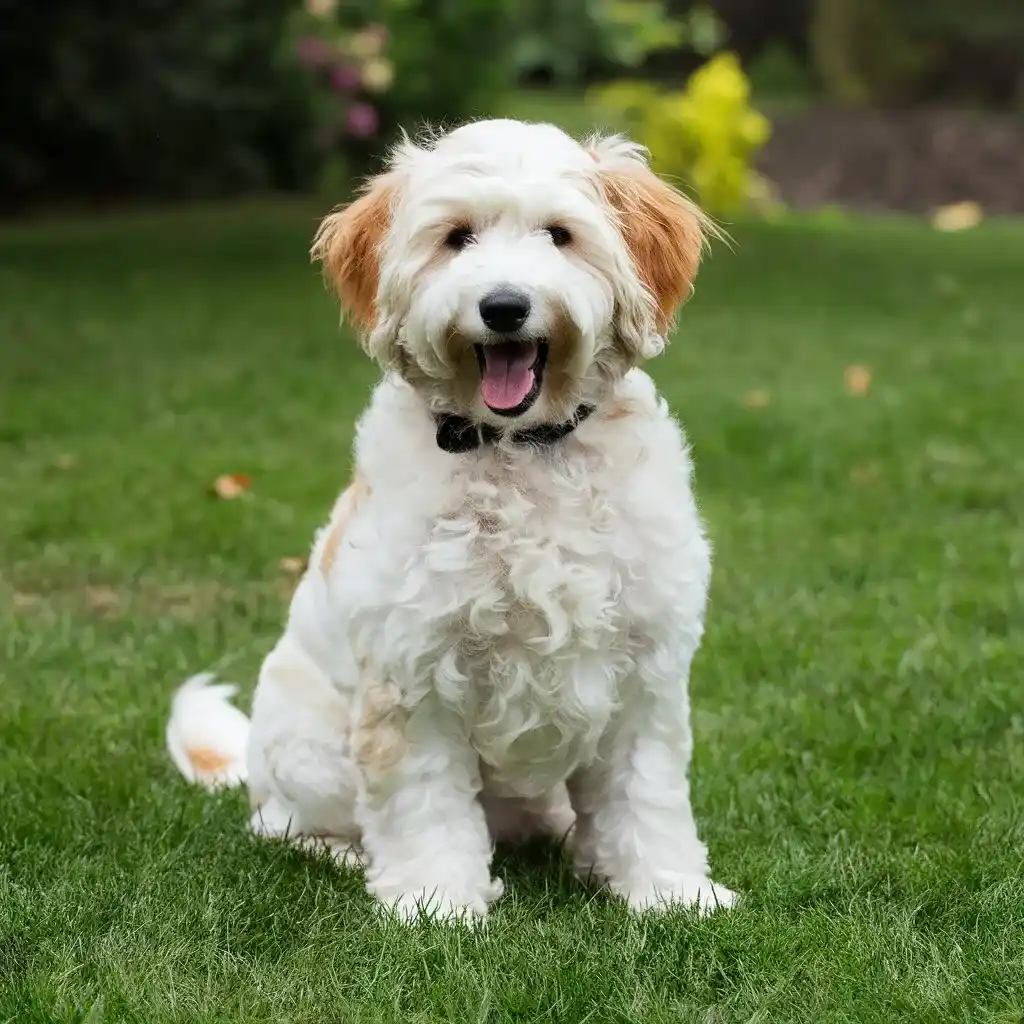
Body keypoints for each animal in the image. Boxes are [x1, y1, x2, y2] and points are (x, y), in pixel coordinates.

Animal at [169, 117, 745, 921]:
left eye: (559, 235)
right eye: (457, 238)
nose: (503, 306)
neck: (520, 450)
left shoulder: (646, 670)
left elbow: (646, 791)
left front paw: (668, 891)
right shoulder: (411, 676)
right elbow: (423, 801)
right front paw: (436, 901)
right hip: (307, 751)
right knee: (285, 826)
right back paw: (345, 854)